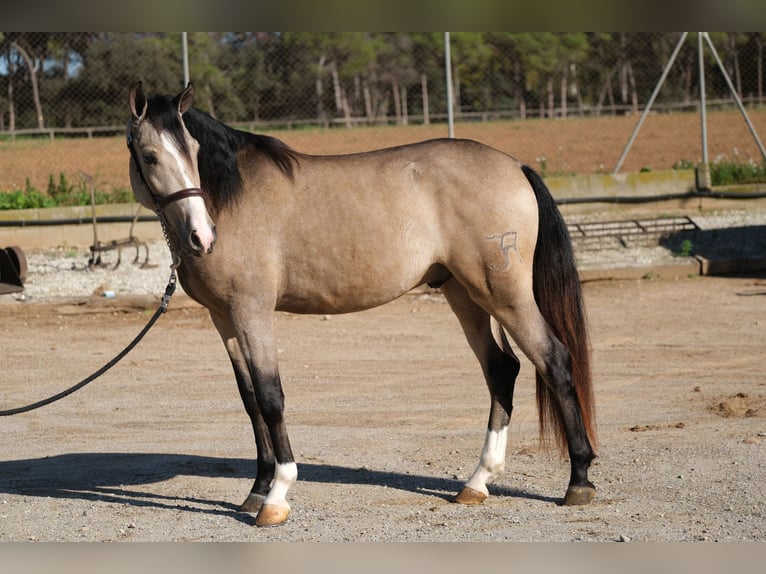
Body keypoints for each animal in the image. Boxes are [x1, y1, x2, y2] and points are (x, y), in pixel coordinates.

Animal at [127, 83, 600, 528]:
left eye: (193, 150)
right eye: (149, 156)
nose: (202, 237)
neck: (231, 200)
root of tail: (515, 166)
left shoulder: (252, 311)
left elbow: (270, 396)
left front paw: (276, 496)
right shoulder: (223, 317)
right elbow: (249, 400)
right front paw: (257, 490)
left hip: (503, 293)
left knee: (554, 360)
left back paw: (578, 480)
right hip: (464, 293)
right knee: (502, 369)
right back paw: (477, 482)